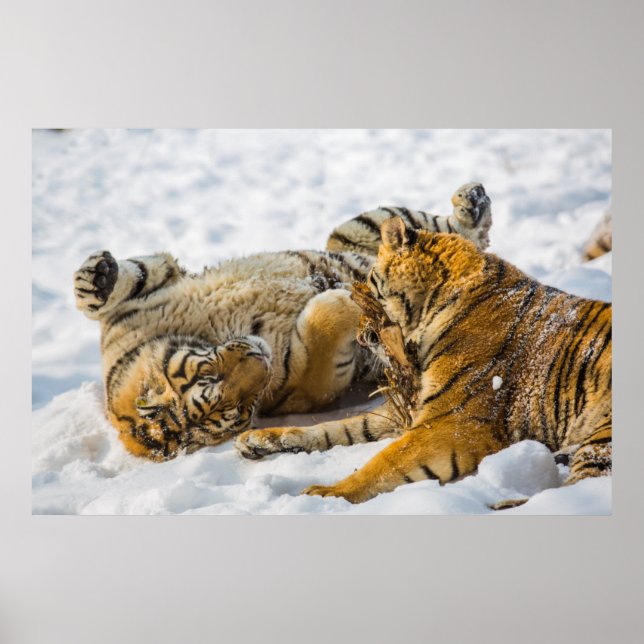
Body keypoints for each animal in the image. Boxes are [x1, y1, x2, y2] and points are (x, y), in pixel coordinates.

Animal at [73, 183, 492, 461]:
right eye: (240, 410)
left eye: (208, 373)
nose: (261, 358)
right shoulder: (306, 386)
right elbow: (323, 331)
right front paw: (344, 296)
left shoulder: (145, 298)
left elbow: (111, 289)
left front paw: (98, 276)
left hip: (362, 226)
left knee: (458, 232)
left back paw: (471, 202)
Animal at [235, 216, 611, 505]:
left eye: (370, 283)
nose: (359, 335)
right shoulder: (411, 411)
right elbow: (334, 428)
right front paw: (260, 440)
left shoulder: (452, 421)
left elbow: (385, 461)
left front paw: (324, 494)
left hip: (602, 433)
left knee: (583, 490)